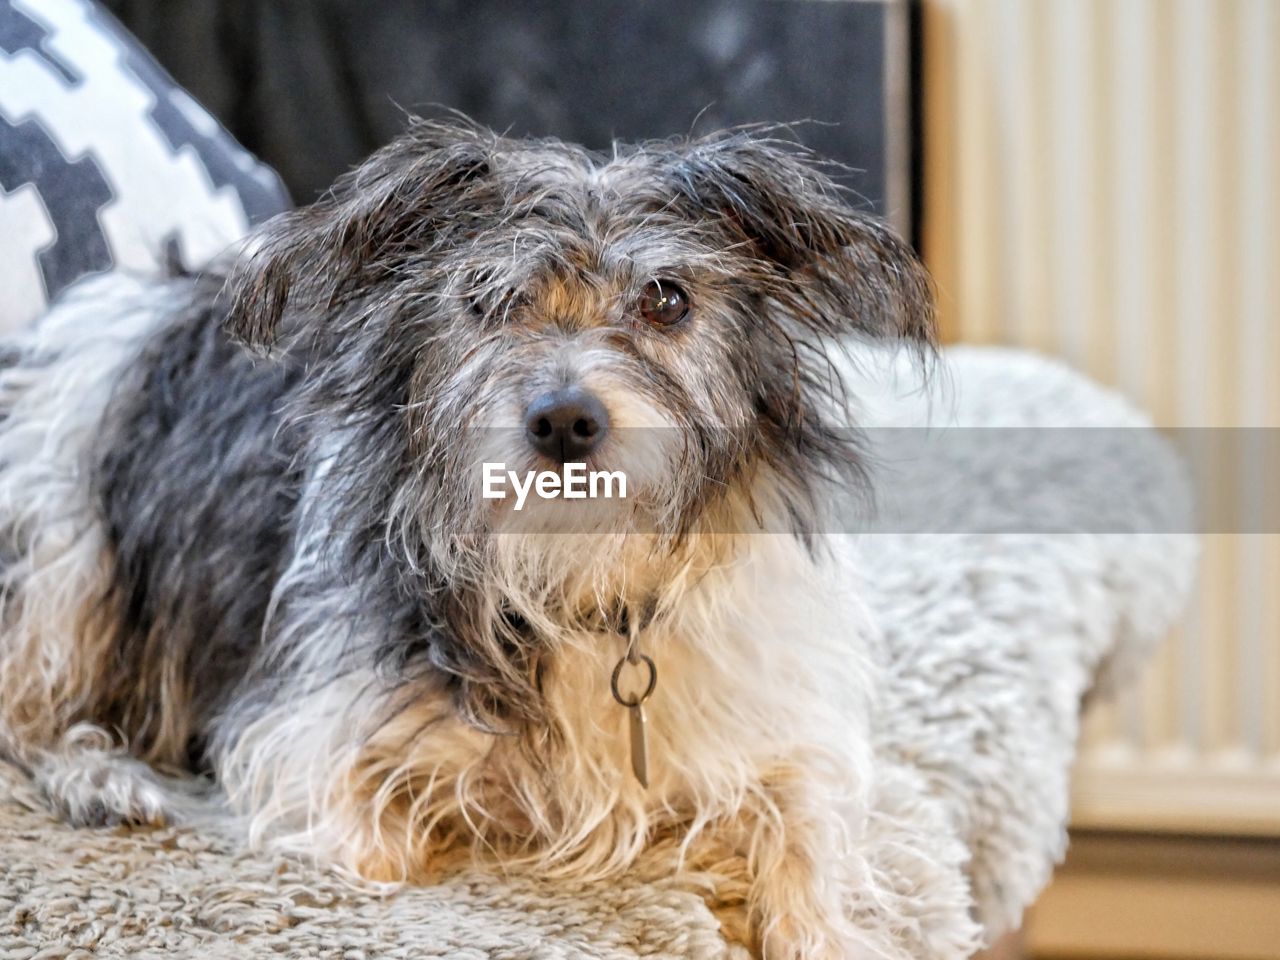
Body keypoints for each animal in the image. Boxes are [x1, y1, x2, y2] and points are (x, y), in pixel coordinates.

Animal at [0, 116, 931, 957]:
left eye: (667, 299)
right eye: (484, 298)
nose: (564, 420)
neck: (572, 578)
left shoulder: (777, 733)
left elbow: (807, 832)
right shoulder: (303, 746)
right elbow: (378, 855)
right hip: (58, 561)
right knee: (27, 721)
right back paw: (102, 780)